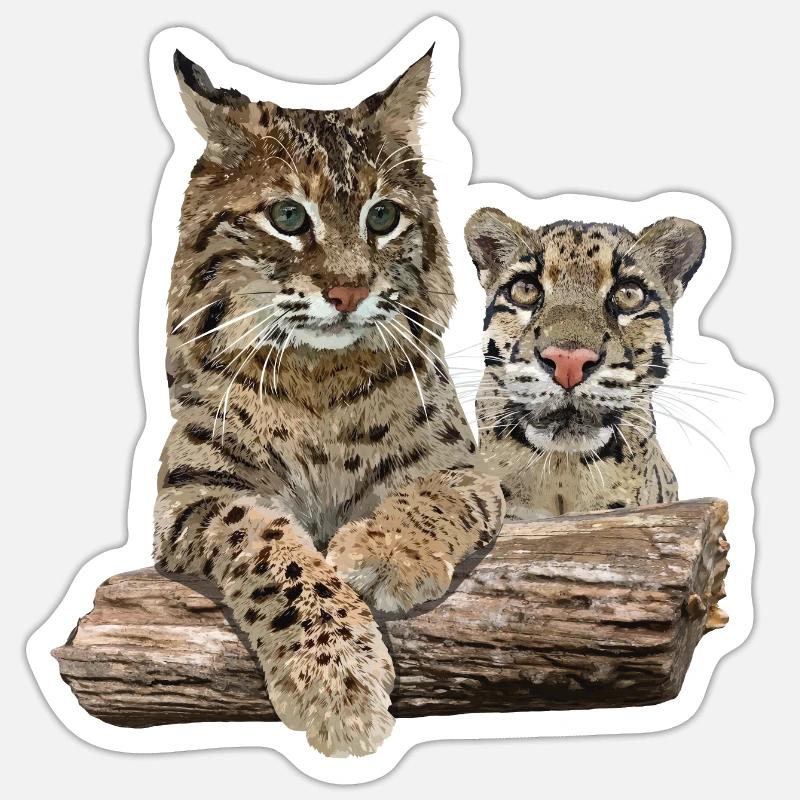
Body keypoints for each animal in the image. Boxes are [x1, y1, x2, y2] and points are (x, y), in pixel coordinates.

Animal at [153, 50, 505, 757]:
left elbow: (433, 495)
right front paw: (336, 681)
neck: (319, 373)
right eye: (289, 218)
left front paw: (389, 550)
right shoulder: (192, 492)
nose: (348, 293)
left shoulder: (465, 469)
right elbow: (269, 548)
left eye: (383, 218)